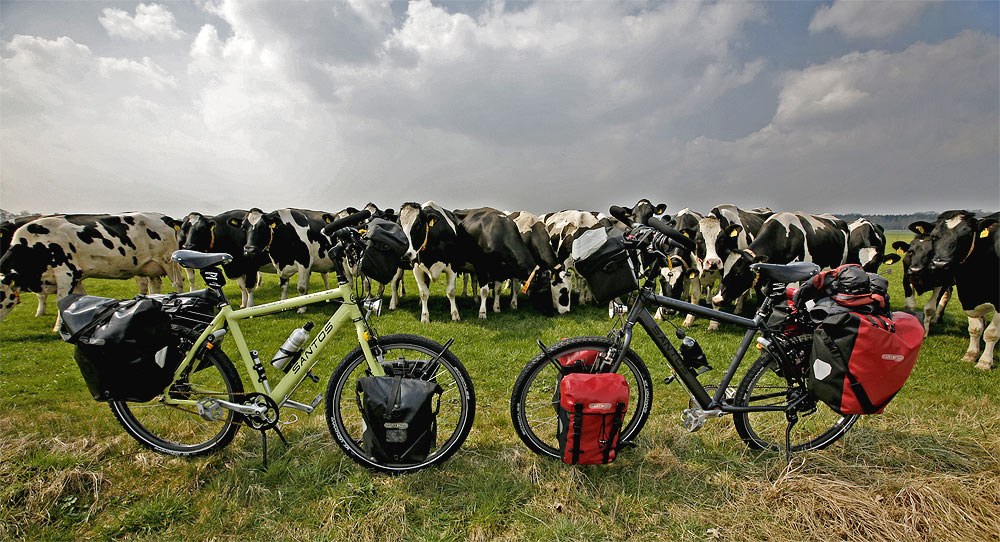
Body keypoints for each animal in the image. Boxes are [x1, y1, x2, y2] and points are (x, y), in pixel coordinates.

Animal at [0, 214, 186, 332]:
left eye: (2, 299)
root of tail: (166, 218)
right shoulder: (73, 277)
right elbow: (77, 298)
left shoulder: (66, 271)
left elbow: (61, 300)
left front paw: (57, 328)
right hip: (150, 266)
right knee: (155, 286)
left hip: (167, 260)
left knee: (177, 283)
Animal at [912, 211, 996, 370]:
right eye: (934, 236)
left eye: (965, 236)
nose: (940, 264)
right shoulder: (968, 294)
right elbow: (975, 327)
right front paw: (971, 355)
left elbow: (991, 332)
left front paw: (984, 362)